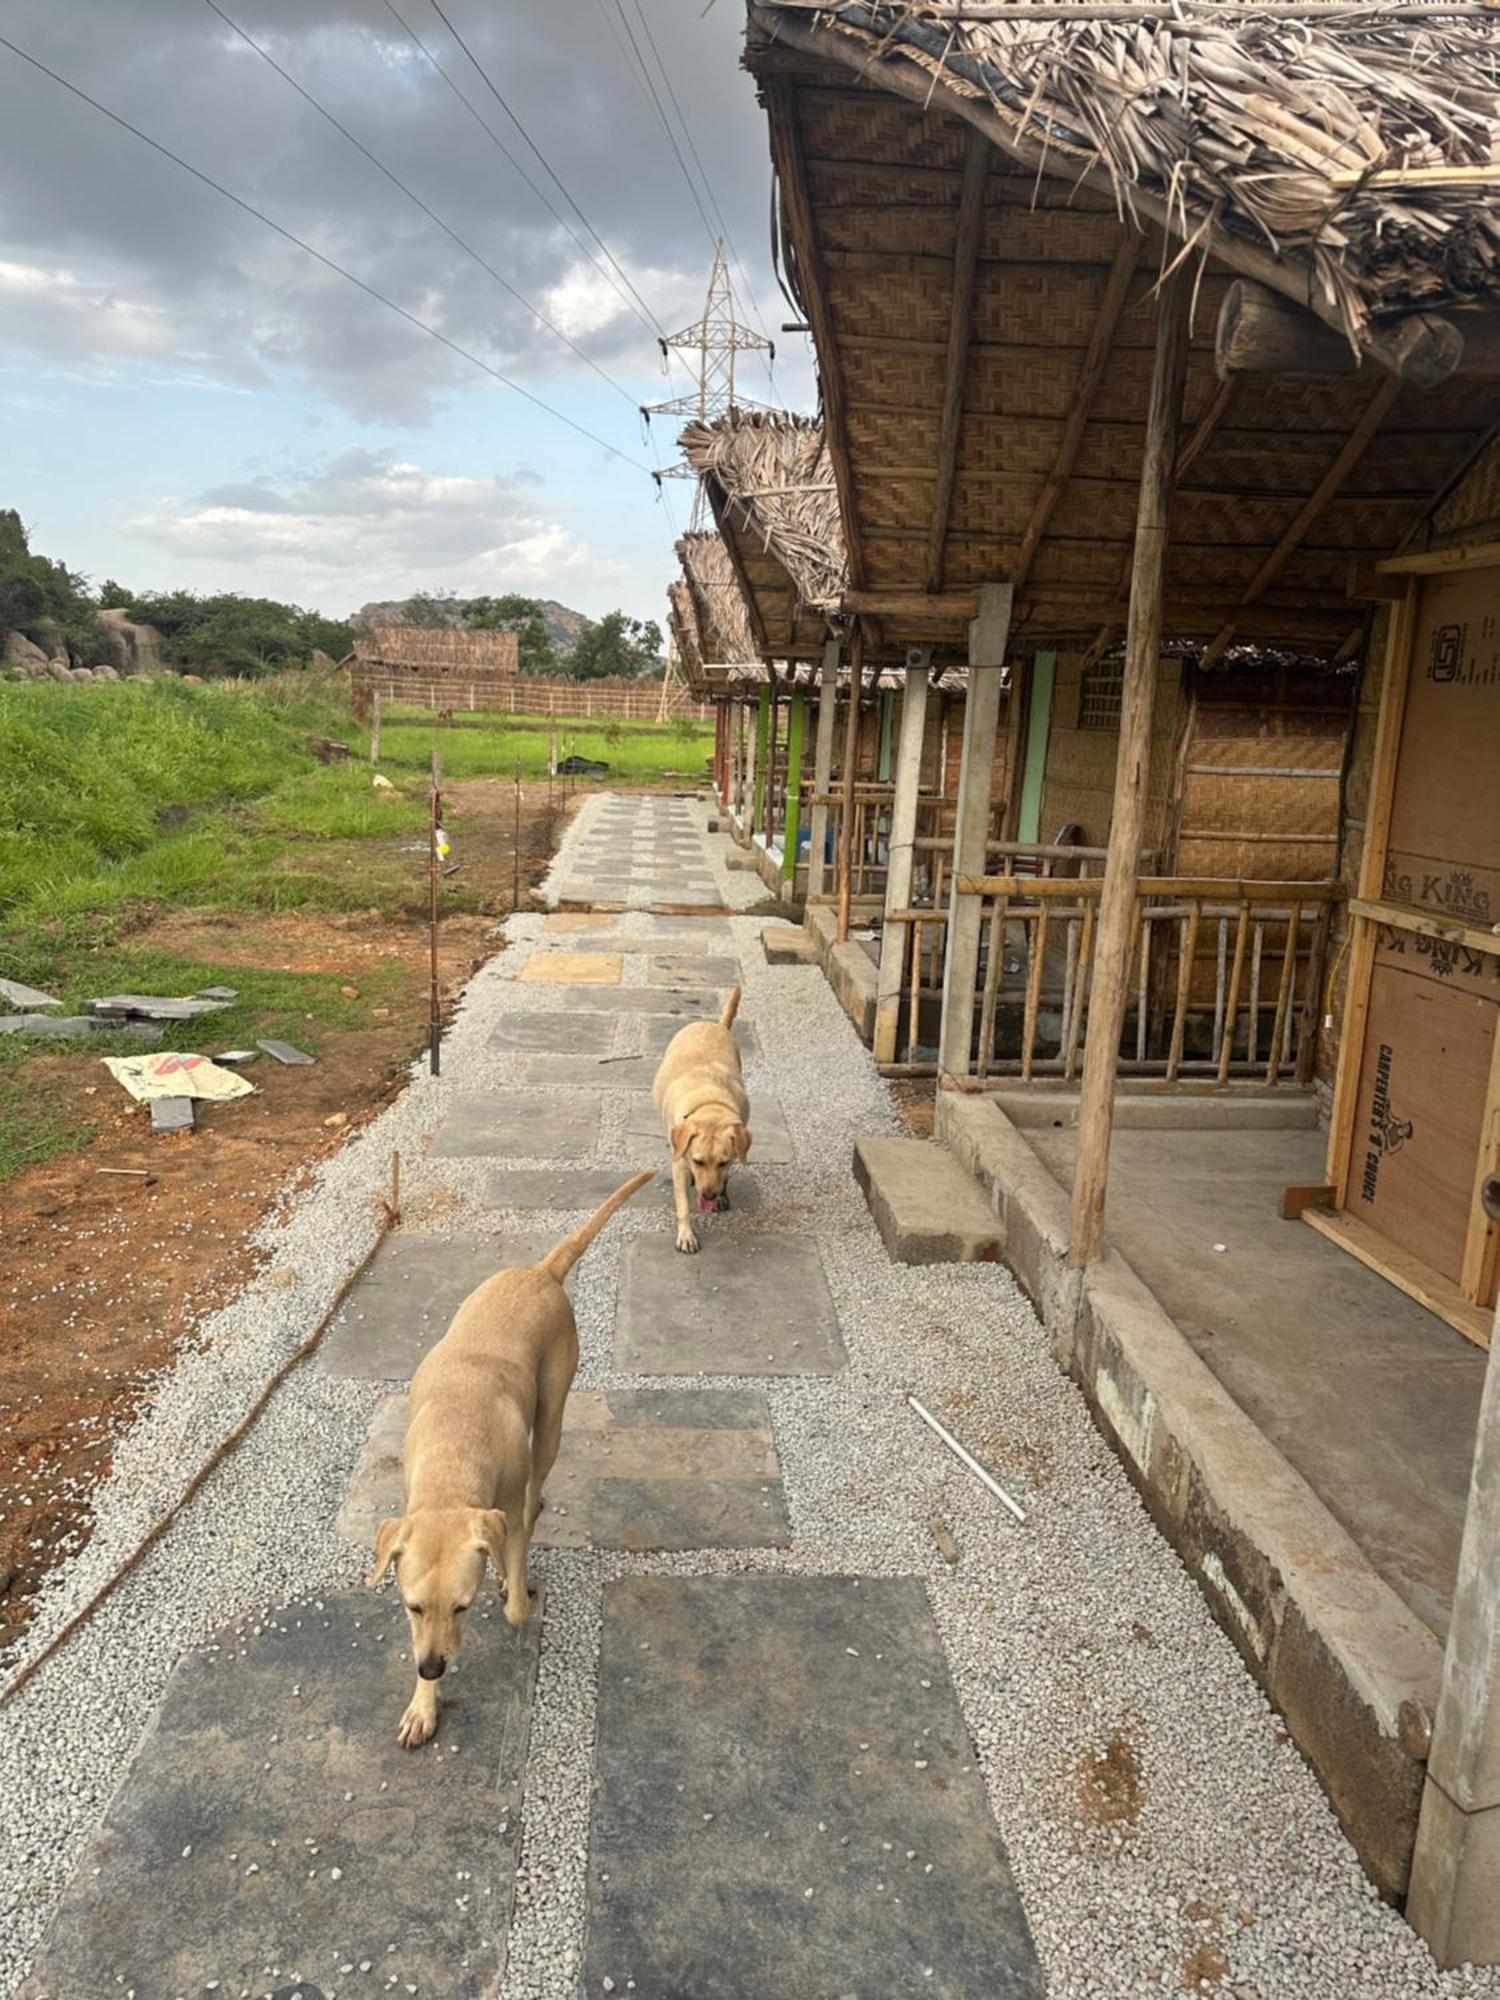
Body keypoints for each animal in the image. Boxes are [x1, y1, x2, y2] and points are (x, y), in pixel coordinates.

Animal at [372, 1168, 652, 1744]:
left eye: (462, 1606)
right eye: (412, 1606)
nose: (430, 1669)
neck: (453, 1456)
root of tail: (540, 1272)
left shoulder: (504, 1516)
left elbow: (517, 1585)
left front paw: (513, 1590)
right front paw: (422, 1705)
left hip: (551, 1418)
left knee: (535, 1488)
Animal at [656, 984, 752, 1248]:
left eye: (723, 1162)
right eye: (698, 1161)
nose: (708, 1195)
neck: (710, 1106)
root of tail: (716, 1024)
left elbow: (727, 1175)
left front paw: (723, 1195)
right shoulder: (679, 1163)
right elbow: (683, 1205)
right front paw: (686, 1235)